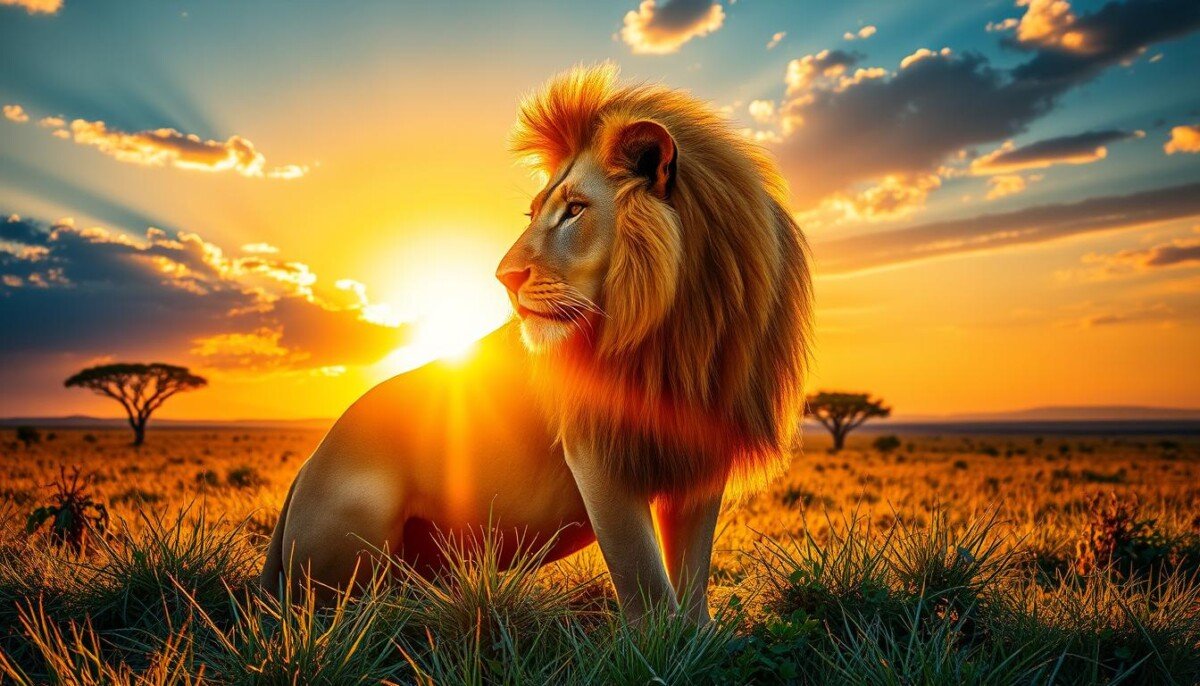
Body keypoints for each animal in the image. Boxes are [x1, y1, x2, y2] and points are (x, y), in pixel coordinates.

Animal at [495, 64, 812, 623]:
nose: (503, 278)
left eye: (574, 210)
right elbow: (639, 568)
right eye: (533, 215)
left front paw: (698, 633)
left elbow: (691, 565)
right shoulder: (594, 447)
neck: (676, 329)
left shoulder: (706, 440)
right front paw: (659, 637)